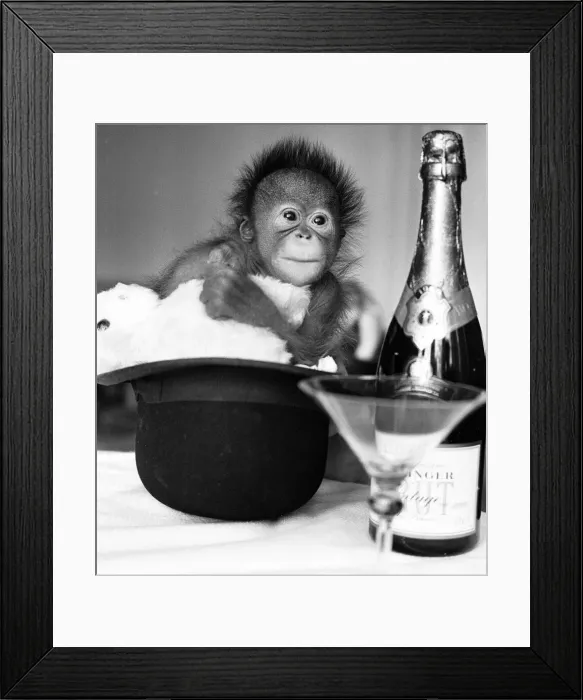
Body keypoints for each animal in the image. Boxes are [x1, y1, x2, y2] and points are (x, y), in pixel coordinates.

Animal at [151, 136, 379, 370]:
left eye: (319, 221)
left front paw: (249, 304)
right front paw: (230, 256)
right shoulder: (196, 264)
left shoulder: (330, 290)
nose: (304, 235)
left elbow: (310, 357)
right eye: (289, 216)